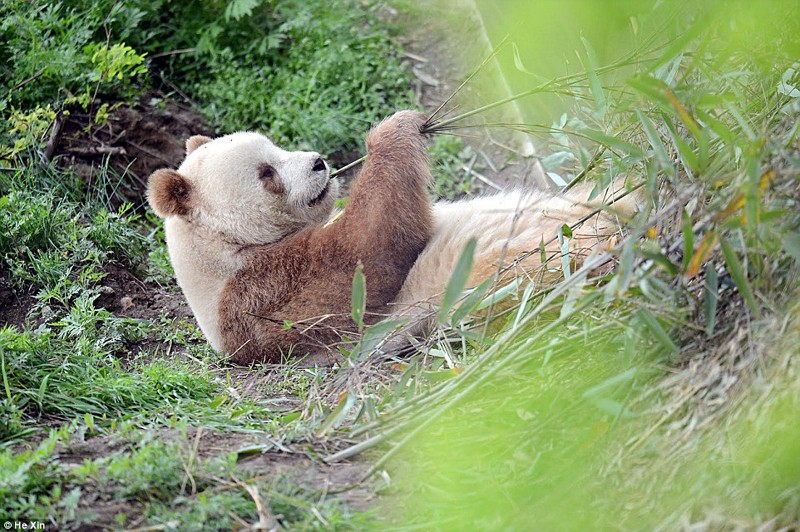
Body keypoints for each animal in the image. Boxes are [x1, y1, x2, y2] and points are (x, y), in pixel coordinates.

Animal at [148, 110, 636, 364]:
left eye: (276, 147)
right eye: (267, 173)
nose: (319, 162)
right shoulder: (262, 297)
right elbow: (367, 256)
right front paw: (395, 129)